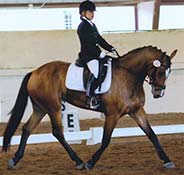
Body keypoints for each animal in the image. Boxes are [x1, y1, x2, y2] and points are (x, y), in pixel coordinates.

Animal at [1, 45, 177, 170]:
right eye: (161, 71)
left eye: (169, 72)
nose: (158, 93)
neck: (129, 75)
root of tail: (35, 72)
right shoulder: (112, 114)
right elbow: (105, 140)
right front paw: (91, 162)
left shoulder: (136, 111)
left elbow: (152, 134)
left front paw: (167, 161)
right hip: (53, 108)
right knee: (57, 132)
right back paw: (78, 161)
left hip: (41, 108)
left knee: (27, 128)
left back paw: (14, 159)